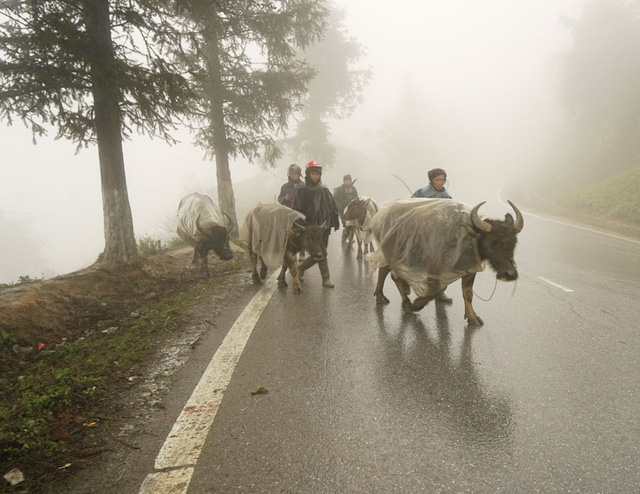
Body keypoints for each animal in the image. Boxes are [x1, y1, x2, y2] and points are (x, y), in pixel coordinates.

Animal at [368, 199, 524, 326]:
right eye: (493, 243)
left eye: (514, 242)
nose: (510, 274)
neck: (466, 238)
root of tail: (382, 215)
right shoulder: (434, 269)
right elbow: (434, 291)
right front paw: (417, 304)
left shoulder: (469, 270)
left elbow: (468, 294)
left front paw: (472, 317)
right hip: (391, 252)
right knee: (389, 274)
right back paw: (395, 300)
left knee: (389, 272)